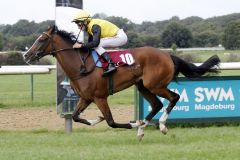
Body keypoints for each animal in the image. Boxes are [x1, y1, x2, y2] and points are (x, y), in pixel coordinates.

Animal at [23, 25, 219, 139]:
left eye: (42, 39)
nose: (26, 55)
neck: (81, 66)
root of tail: (167, 55)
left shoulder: (100, 97)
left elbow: (111, 121)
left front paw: (132, 123)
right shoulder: (85, 98)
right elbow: (76, 116)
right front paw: (97, 119)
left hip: (154, 85)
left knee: (173, 98)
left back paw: (161, 125)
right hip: (142, 86)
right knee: (156, 104)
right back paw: (142, 129)